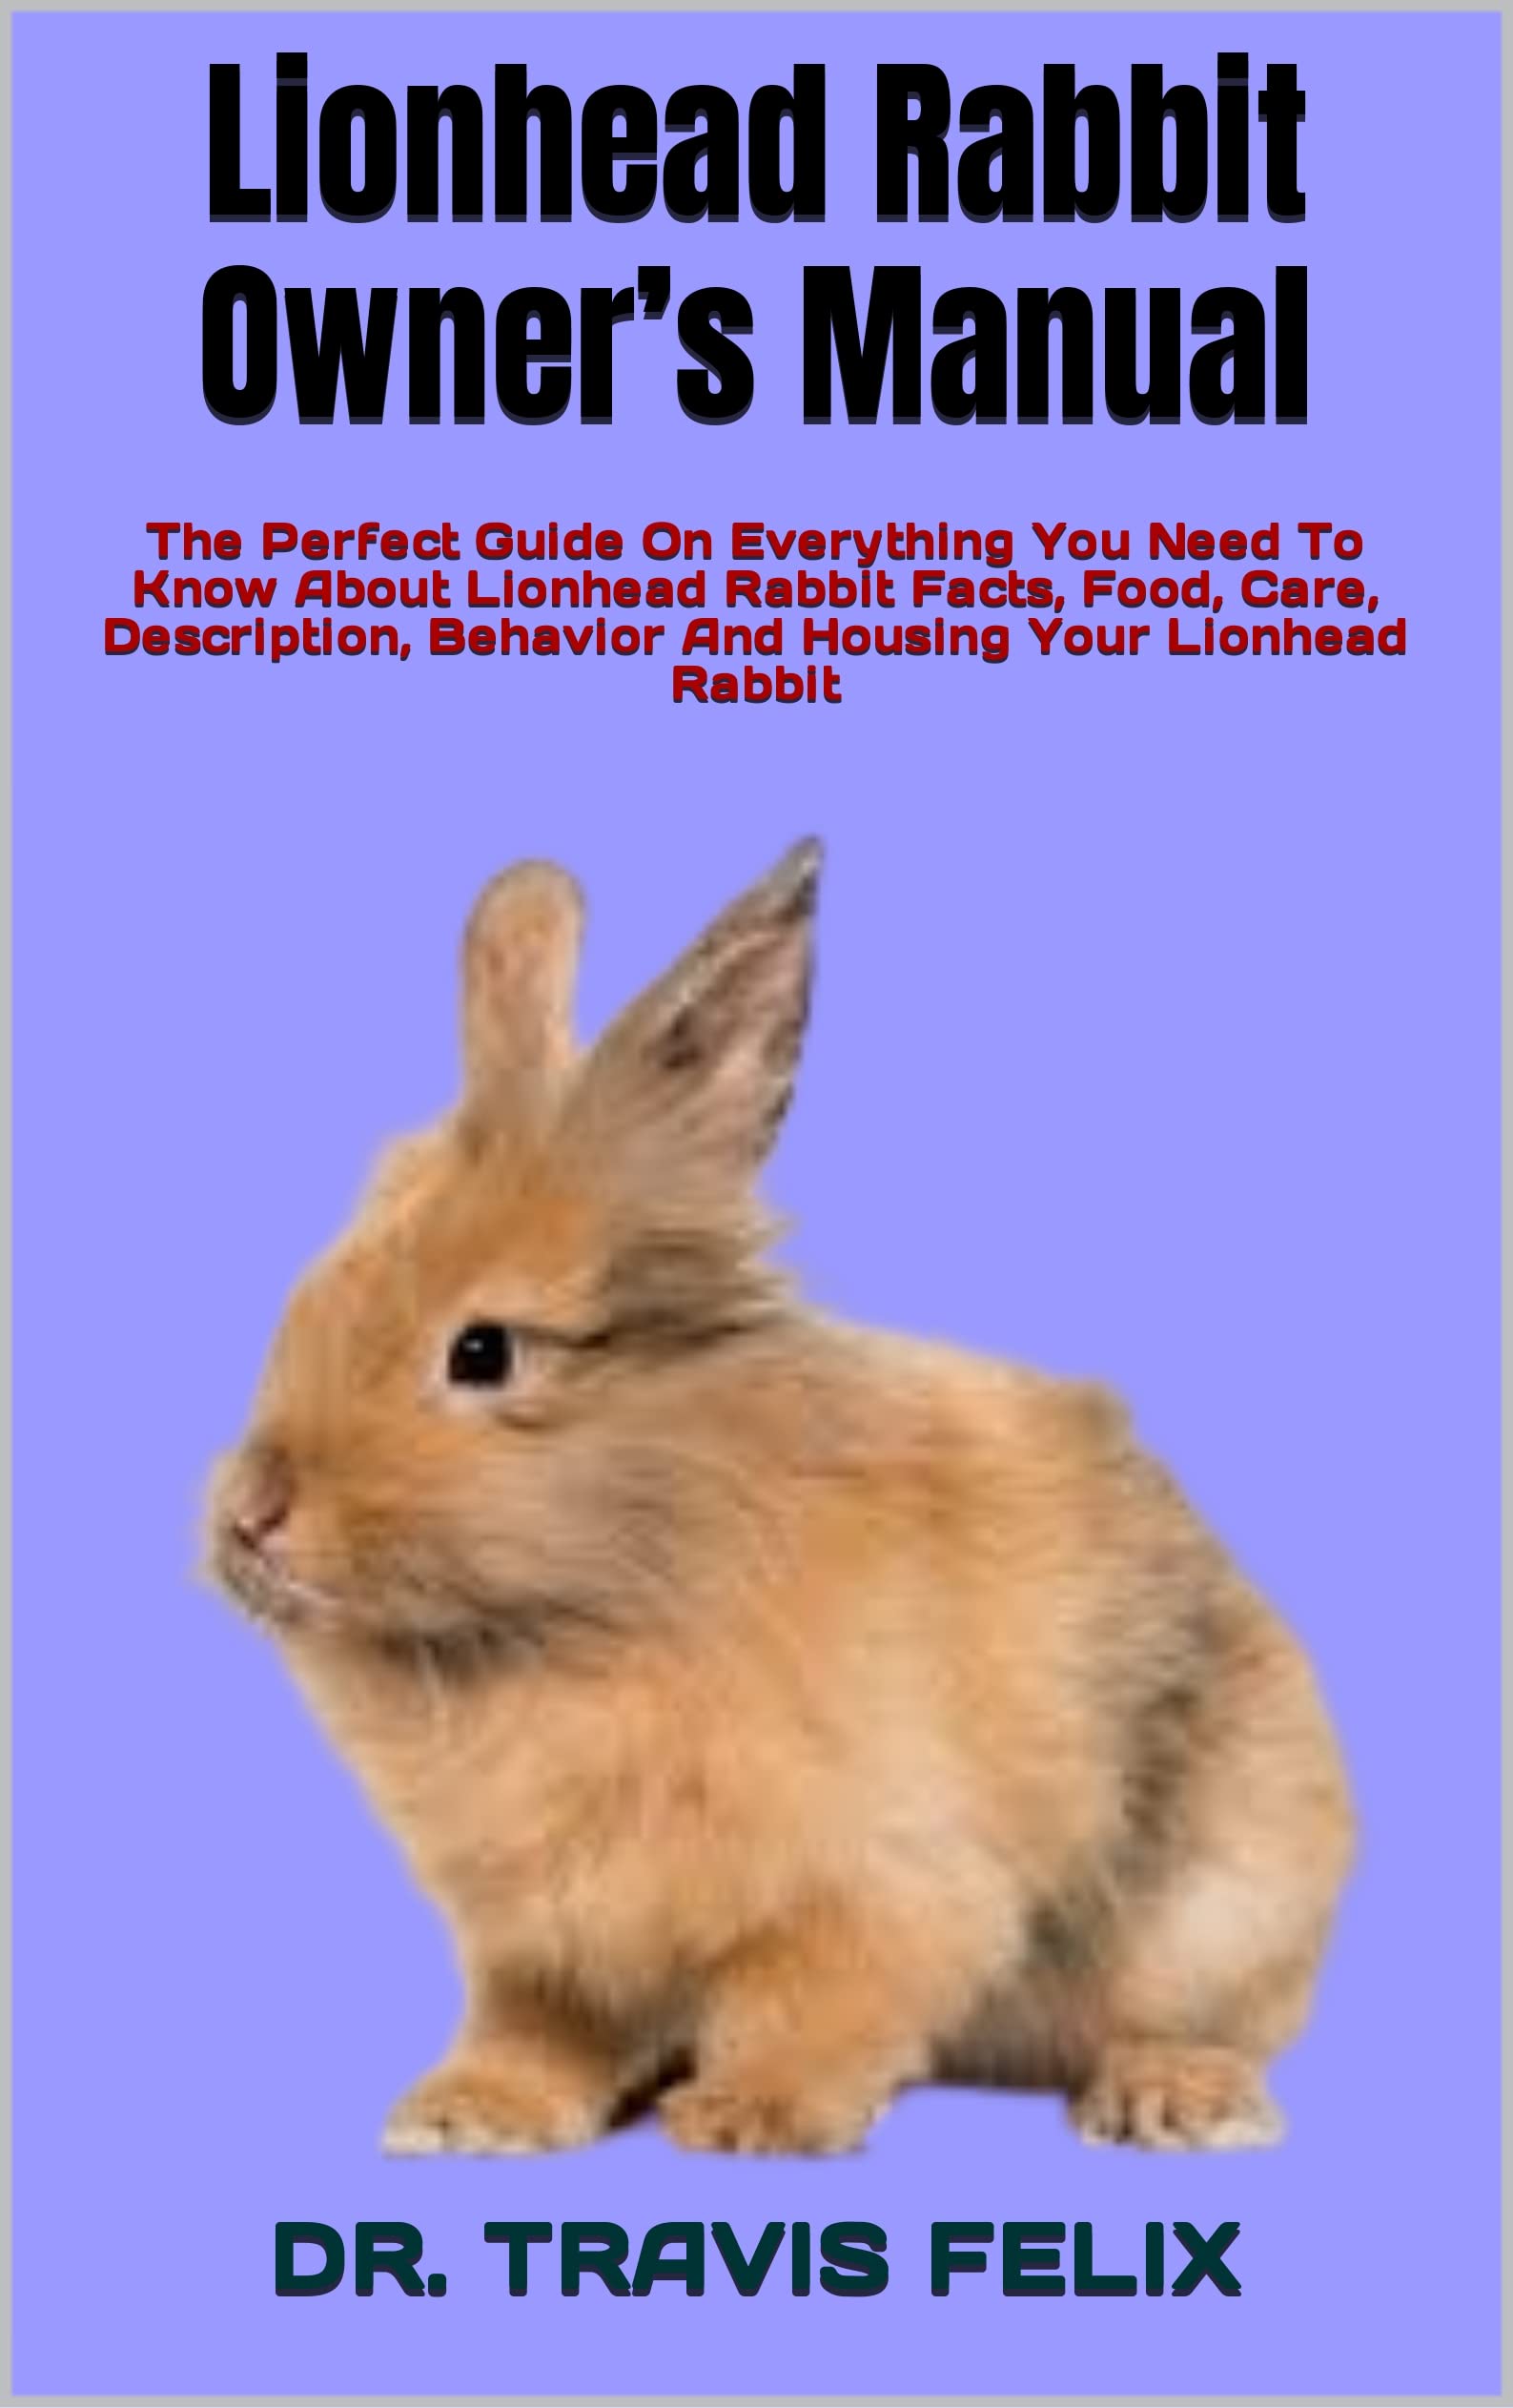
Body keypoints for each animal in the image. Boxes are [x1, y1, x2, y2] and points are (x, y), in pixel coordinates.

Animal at [208, 838, 1354, 2157]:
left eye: (483, 1351)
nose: (250, 1515)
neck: (597, 1611)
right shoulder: (547, 1940)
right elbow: (536, 2027)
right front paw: (466, 2115)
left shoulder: (871, 1885)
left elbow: (807, 2002)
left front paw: (747, 2116)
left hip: (1224, 1901)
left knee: (1199, 2017)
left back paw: (1171, 2098)